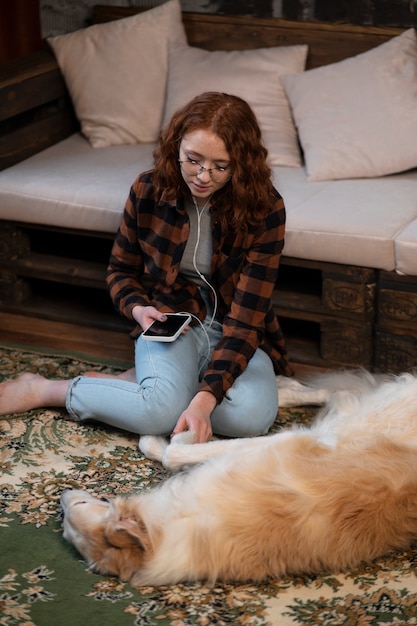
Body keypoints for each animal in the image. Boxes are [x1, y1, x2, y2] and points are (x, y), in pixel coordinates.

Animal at [61, 370, 417, 584]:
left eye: (79, 505)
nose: (62, 496)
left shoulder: (285, 441)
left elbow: (173, 451)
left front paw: (169, 434)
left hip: (361, 418)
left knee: (342, 394)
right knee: (337, 392)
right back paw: (285, 387)